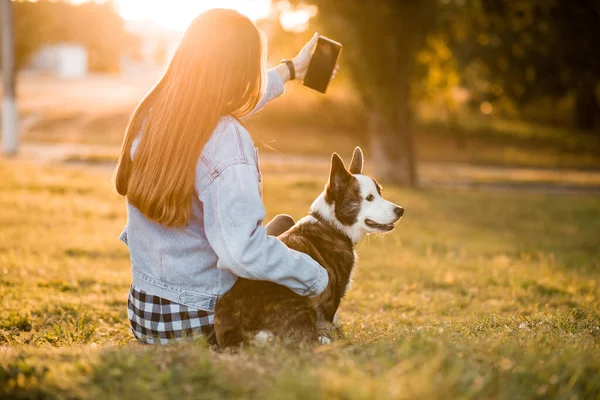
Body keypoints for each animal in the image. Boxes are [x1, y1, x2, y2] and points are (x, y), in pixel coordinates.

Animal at [213, 147, 406, 346]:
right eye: (369, 198)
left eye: (380, 193)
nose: (400, 210)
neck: (331, 224)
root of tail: (239, 336)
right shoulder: (331, 299)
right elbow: (327, 322)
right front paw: (331, 338)